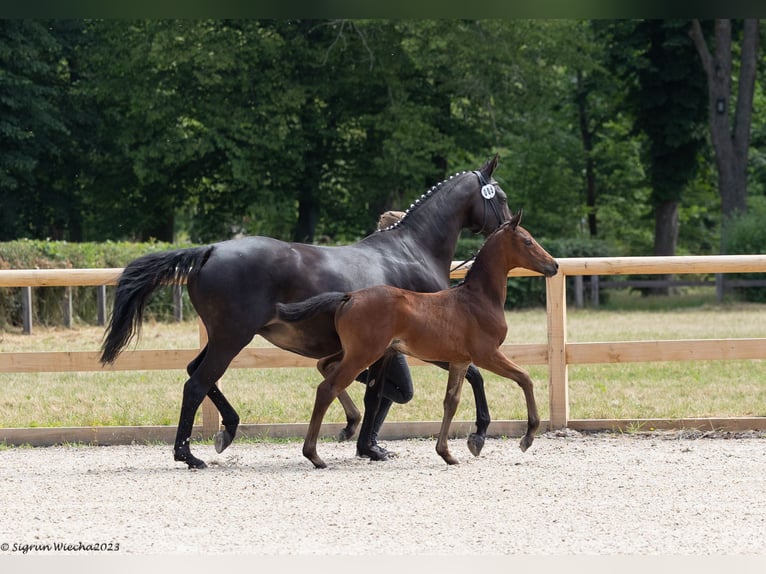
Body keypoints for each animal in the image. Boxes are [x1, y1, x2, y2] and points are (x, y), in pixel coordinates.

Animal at [99, 155, 512, 470]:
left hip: (221, 337)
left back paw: (227, 430)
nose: (510, 228)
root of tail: (210, 250)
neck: (412, 251)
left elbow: (375, 393)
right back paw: (189, 455)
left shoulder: (388, 351)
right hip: (232, 338)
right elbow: (473, 376)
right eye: (502, 197)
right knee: (196, 383)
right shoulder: (430, 345)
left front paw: (367, 445)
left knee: (195, 373)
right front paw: (477, 435)